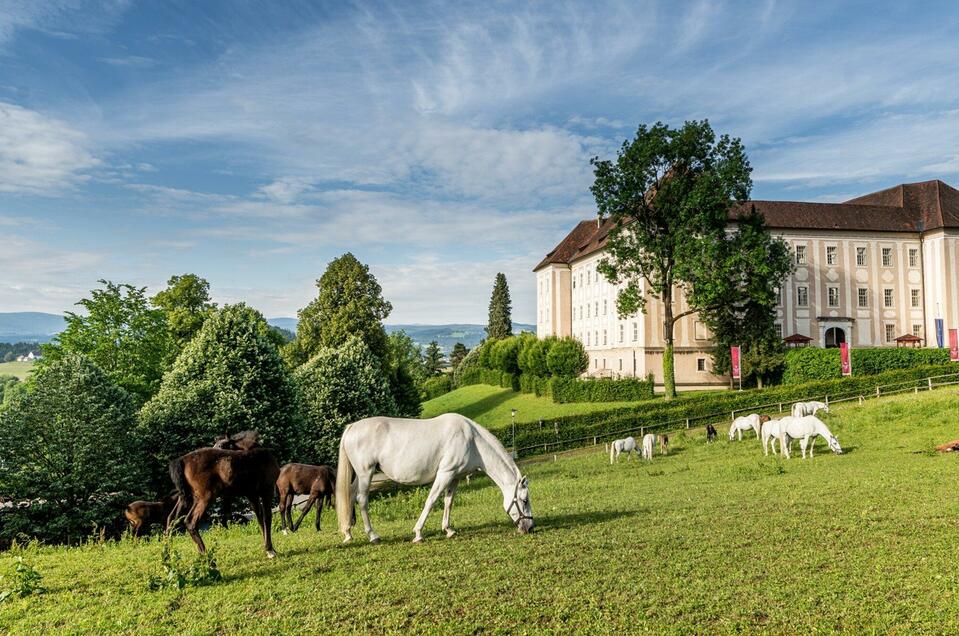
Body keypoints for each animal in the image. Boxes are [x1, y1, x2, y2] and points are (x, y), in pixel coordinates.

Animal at [336, 414, 532, 544]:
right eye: (524, 500)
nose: (530, 528)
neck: (472, 440)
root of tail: (352, 427)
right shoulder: (445, 473)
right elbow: (431, 501)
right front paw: (418, 533)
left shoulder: (455, 477)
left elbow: (448, 502)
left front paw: (448, 530)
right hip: (365, 474)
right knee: (362, 500)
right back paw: (373, 536)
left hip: (359, 477)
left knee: (350, 496)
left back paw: (348, 534)